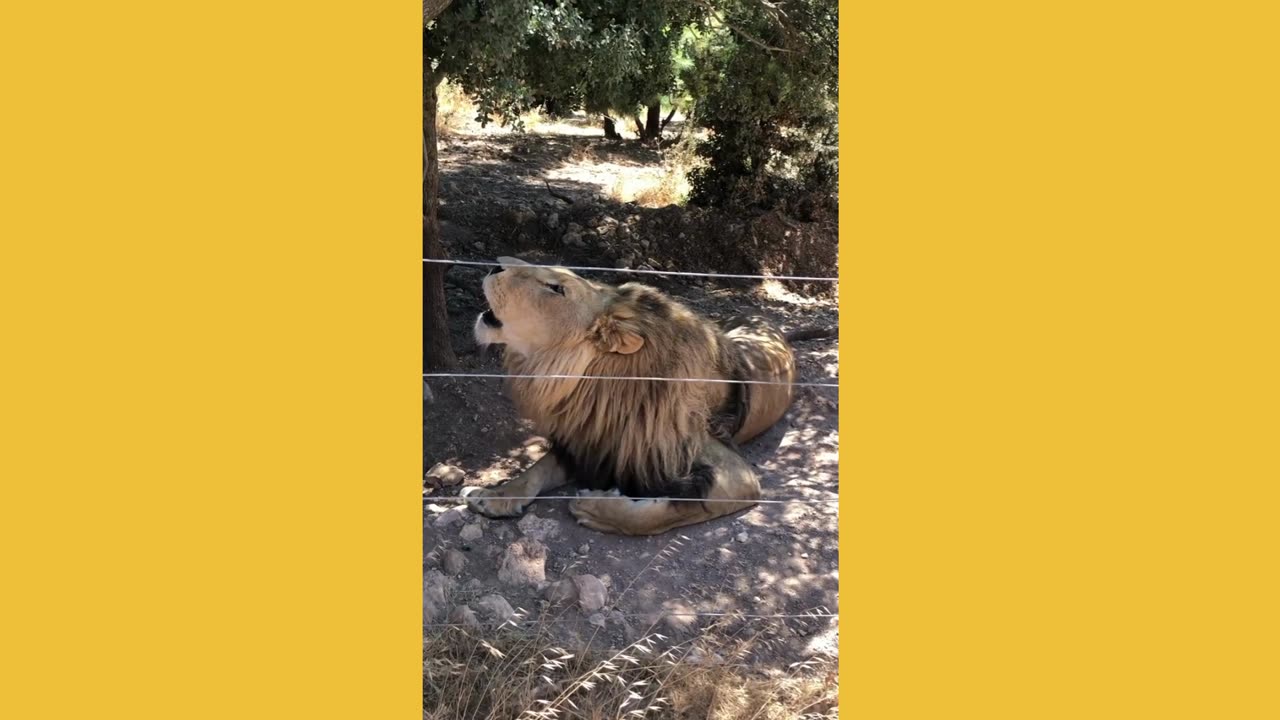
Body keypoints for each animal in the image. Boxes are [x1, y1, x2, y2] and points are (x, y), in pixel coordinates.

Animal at [460, 256, 798, 532]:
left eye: (556, 288)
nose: (494, 265)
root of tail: (764, 319)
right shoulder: (591, 441)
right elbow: (536, 470)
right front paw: (494, 495)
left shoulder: (737, 475)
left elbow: (658, 515)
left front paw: (595, 508)